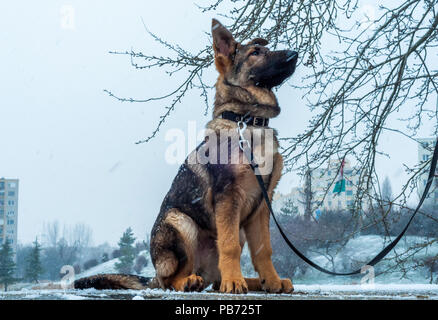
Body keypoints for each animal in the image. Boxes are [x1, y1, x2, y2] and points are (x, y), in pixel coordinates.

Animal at [74, 20, 298, 294]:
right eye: (255, 53)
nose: (295, 54)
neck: (248, 121)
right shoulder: (228, 197)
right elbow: (230, 246)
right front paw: (235, 282)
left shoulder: (262, 204)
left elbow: (264, 249)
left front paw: (272, 281)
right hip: (180, 222)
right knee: (171, 281)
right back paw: (195, 280)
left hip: (237, 228)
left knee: (214, 282)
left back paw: (250, 281)